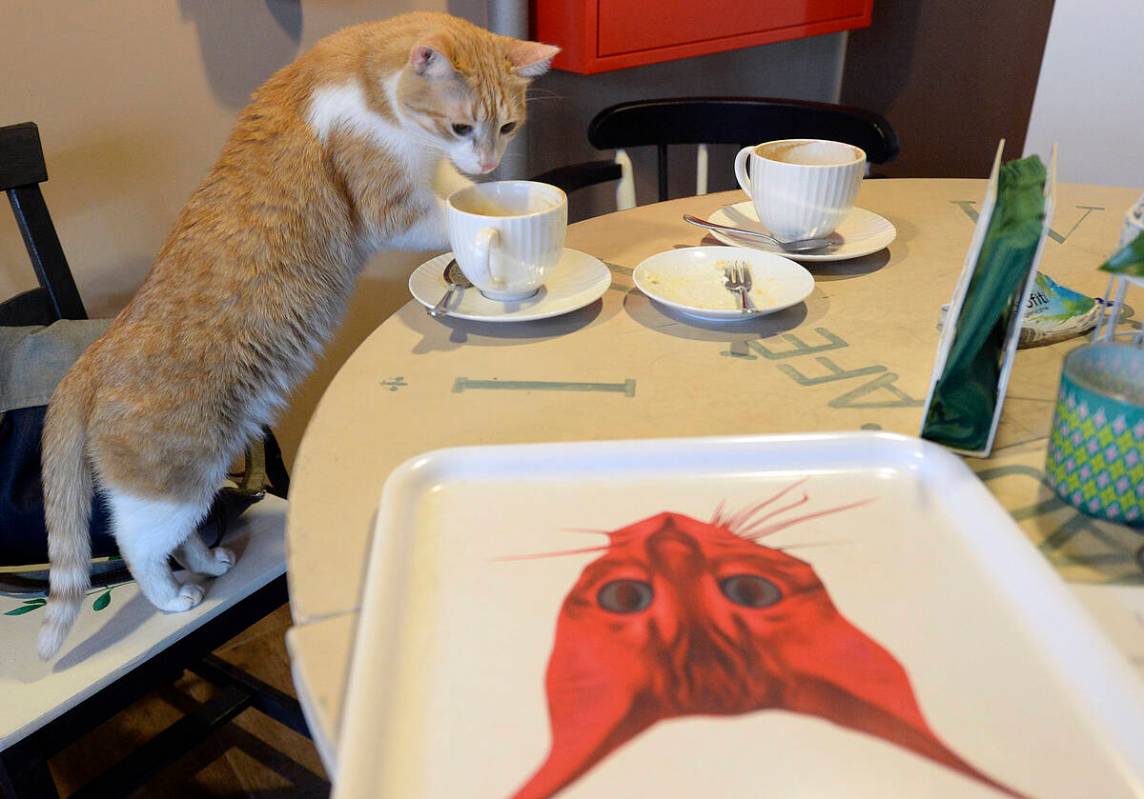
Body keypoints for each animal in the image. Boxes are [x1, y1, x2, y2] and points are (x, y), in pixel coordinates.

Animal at [35, 12, 553, 654]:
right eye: (461, 125)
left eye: (507, 126)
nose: (487, 163)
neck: (365, 85)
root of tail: (96, 352)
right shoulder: (391, 207)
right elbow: (454, 219)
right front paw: (484, 228)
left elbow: (451, 188)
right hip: (169, 483)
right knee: (138, 545)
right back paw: (173, 596)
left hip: (202, 476)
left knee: (185, 534)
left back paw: (208, 562)